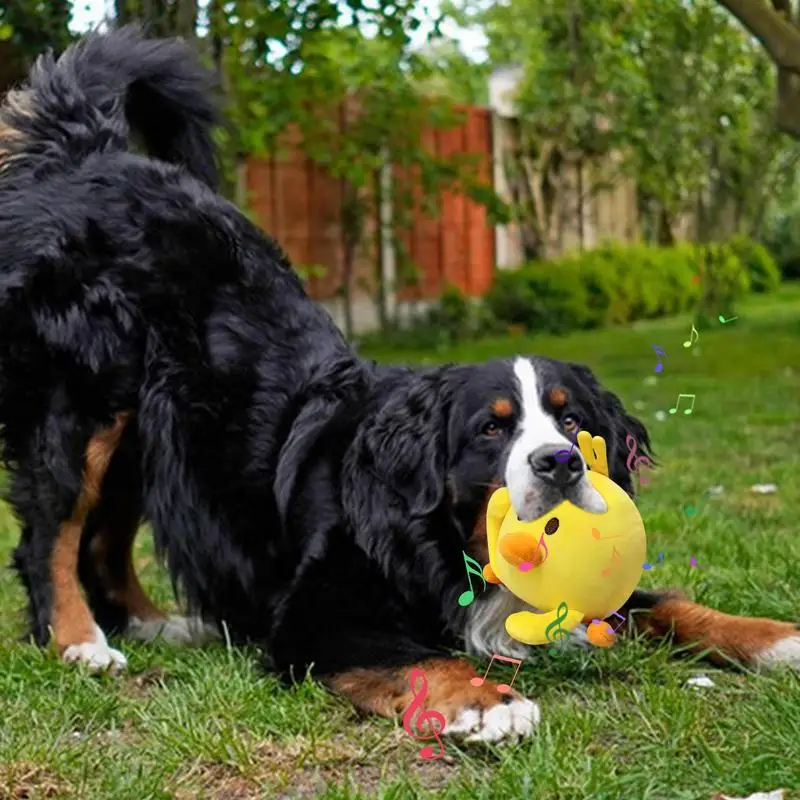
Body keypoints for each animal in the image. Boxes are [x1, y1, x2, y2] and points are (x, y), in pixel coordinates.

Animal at [0, 29, 796, 744]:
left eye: (572, 424)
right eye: (492, 427)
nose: (560, 464)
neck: (447, 538)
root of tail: (88, 152)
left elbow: (673, 607)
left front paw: (775, 635)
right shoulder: (318, 612)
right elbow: (418, 656)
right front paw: (486, 701)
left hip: (160, 433)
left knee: (103, 540)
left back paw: (160, 623)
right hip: (86, 407)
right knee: (52, 534)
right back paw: (81, 643)